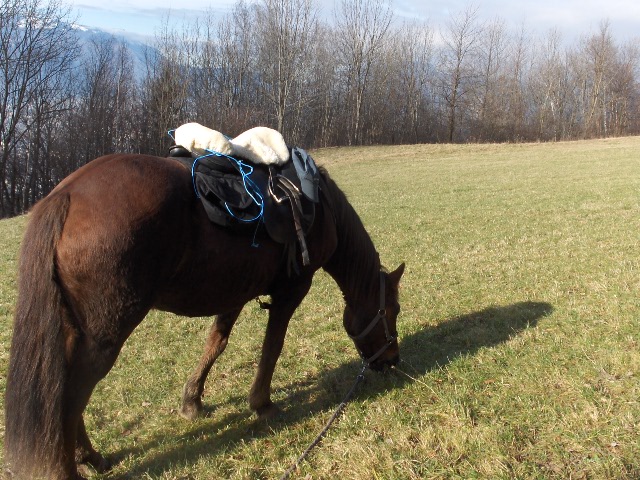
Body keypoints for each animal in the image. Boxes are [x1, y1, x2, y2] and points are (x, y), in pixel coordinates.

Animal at [3, 154, 404, 480]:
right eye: (393, 310)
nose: (391, 360)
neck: (318, 207)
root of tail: (67, 195)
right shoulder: (292, 289)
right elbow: (272, 346)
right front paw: (262, 404)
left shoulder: (236, 290)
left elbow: (217, 342)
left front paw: (192, 401)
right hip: (105, 335)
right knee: (72, 394)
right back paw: (74, 464)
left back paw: (89, 456)